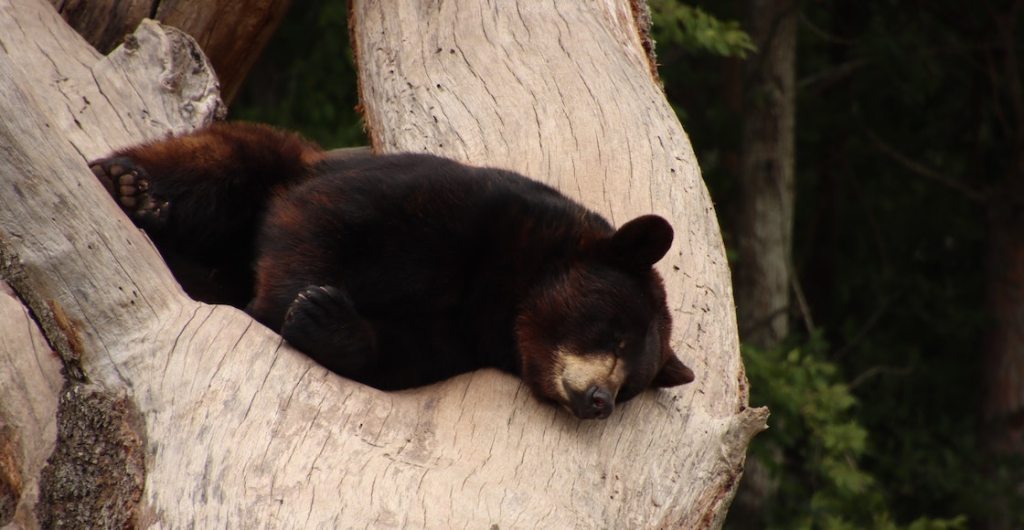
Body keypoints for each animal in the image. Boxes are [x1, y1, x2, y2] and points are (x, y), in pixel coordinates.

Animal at [92, 122, 696, 421]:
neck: (500, 290)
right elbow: (322, 213)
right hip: (278, 156)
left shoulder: (462, 335)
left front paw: (326, 319)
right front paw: (284, 306)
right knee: (222, 162)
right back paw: (129, 186)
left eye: (632, 387)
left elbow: (403, 354)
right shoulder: (457, 201)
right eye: (614, 335)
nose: (600, 403)